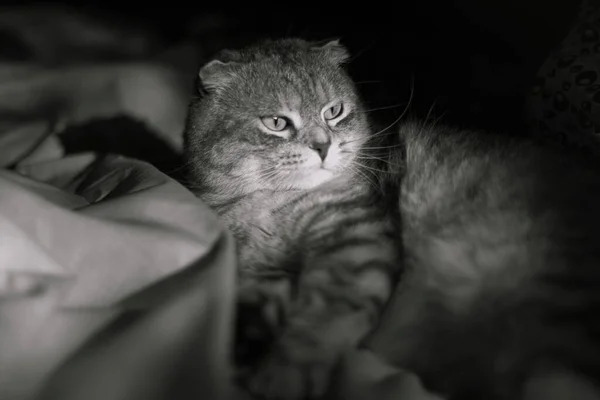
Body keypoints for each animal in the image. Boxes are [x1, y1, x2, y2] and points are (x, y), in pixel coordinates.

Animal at [183, 38, 404, 400]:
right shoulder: (261, 272)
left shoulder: (355, 240)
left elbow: (320, 321)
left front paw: (284, 375)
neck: (271, 202)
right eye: (276, 122)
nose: (324, 146)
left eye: (334, 111)